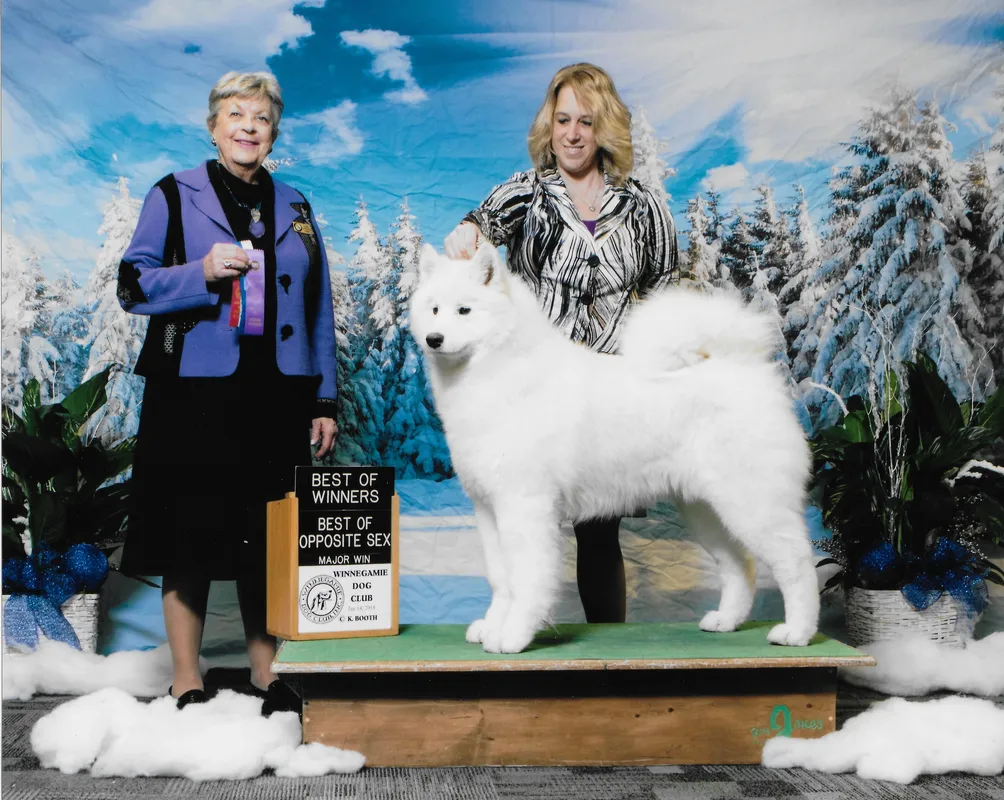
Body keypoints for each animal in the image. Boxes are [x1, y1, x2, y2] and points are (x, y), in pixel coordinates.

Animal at [407, 244, 815, 654]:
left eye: (464, 310)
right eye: (434, 309)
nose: (433, 338)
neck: (497, 374)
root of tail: (743, 369)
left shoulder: (525, 506)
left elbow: (525, 579)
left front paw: (513, 635)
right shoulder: (488, 509)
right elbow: (500, 578)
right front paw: (492, 627)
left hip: (752, 504)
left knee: (797, 564)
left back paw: (797, 632)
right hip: (708, 510)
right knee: (739, 566)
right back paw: (726, 621)